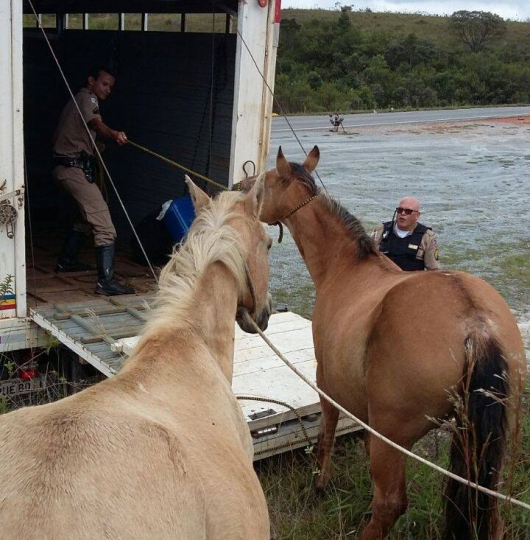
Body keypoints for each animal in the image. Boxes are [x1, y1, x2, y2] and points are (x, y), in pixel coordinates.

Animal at [243, 148, 524, 540]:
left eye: (265, 181)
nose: (238, 189)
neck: (347, 267)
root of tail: (477, 324)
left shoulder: (327, 383)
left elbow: (327, 434)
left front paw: (319, 486)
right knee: (490, 512)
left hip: (394, 438)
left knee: (390, 504)